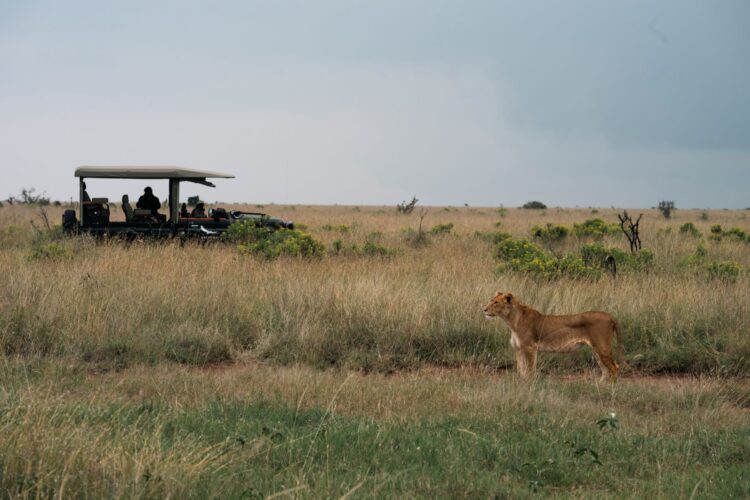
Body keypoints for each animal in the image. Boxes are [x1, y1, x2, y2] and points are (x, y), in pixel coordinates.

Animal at [483, 292, 623, 380]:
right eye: (490, 301)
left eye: (495, 303)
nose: (484, 309)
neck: (511, 321)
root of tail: (610, 316)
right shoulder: (519, 349)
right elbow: (521, 370)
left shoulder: (529, 348)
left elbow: (529, 370)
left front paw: (528, 385)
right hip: (596, 349)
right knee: (605, 370)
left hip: (602, 347)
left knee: (614, 368)